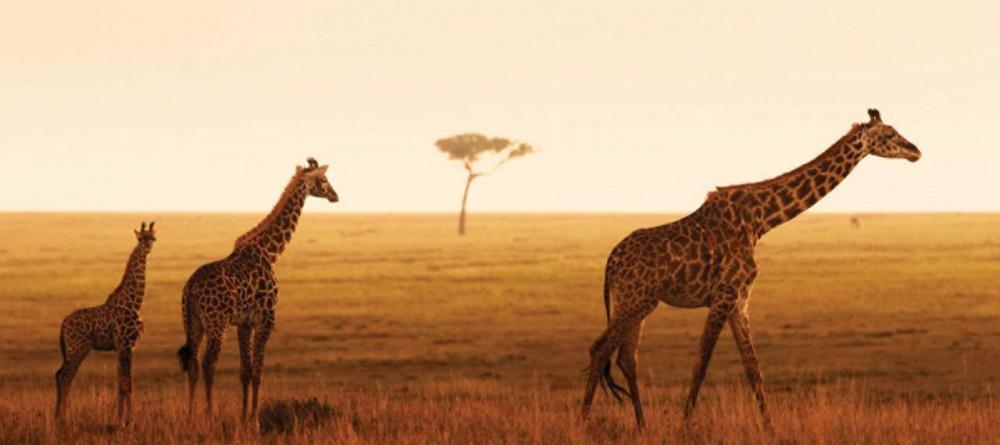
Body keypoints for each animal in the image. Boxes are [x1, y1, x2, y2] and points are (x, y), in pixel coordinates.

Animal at [54, 220, 155, 424]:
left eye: (153, 238)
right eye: (141, 238)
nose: (148, 247)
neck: (134, 303)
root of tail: (63, 325)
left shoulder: (122, 348)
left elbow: (121, 384)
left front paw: (120, 419)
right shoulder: (126, 346)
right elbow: (128, 383)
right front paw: (130, 421)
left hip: (74, 349)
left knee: (61, 376)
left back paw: (58, 417)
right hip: (77, 348)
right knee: (64, 376)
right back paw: (62, 418)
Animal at [177, 157, 340, 424]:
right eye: (324, 179)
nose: (335, 195)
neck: (268, 253)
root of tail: (190, 288)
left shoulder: (244, 323)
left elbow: (245, 370)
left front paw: (244, 418)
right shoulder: (266, 318)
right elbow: (258, 370)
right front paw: (254, 420)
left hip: (193, 322)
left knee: (192, 362)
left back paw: (191, 417)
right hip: (217, 323)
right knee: (208, 363)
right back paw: (209, 416)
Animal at [584, 108, 920, 426]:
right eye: (889, 134)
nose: (915, 151)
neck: (761, 221)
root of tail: (610, 263)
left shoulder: (740, 300)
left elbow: (753, 369)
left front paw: (770, 428)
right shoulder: (724, 295)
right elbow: (701, 363)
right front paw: (683, 426)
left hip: (636, 302)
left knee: (627, 358)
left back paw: (641, 425)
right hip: (635, 299)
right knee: (600, 348)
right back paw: (584, 421)